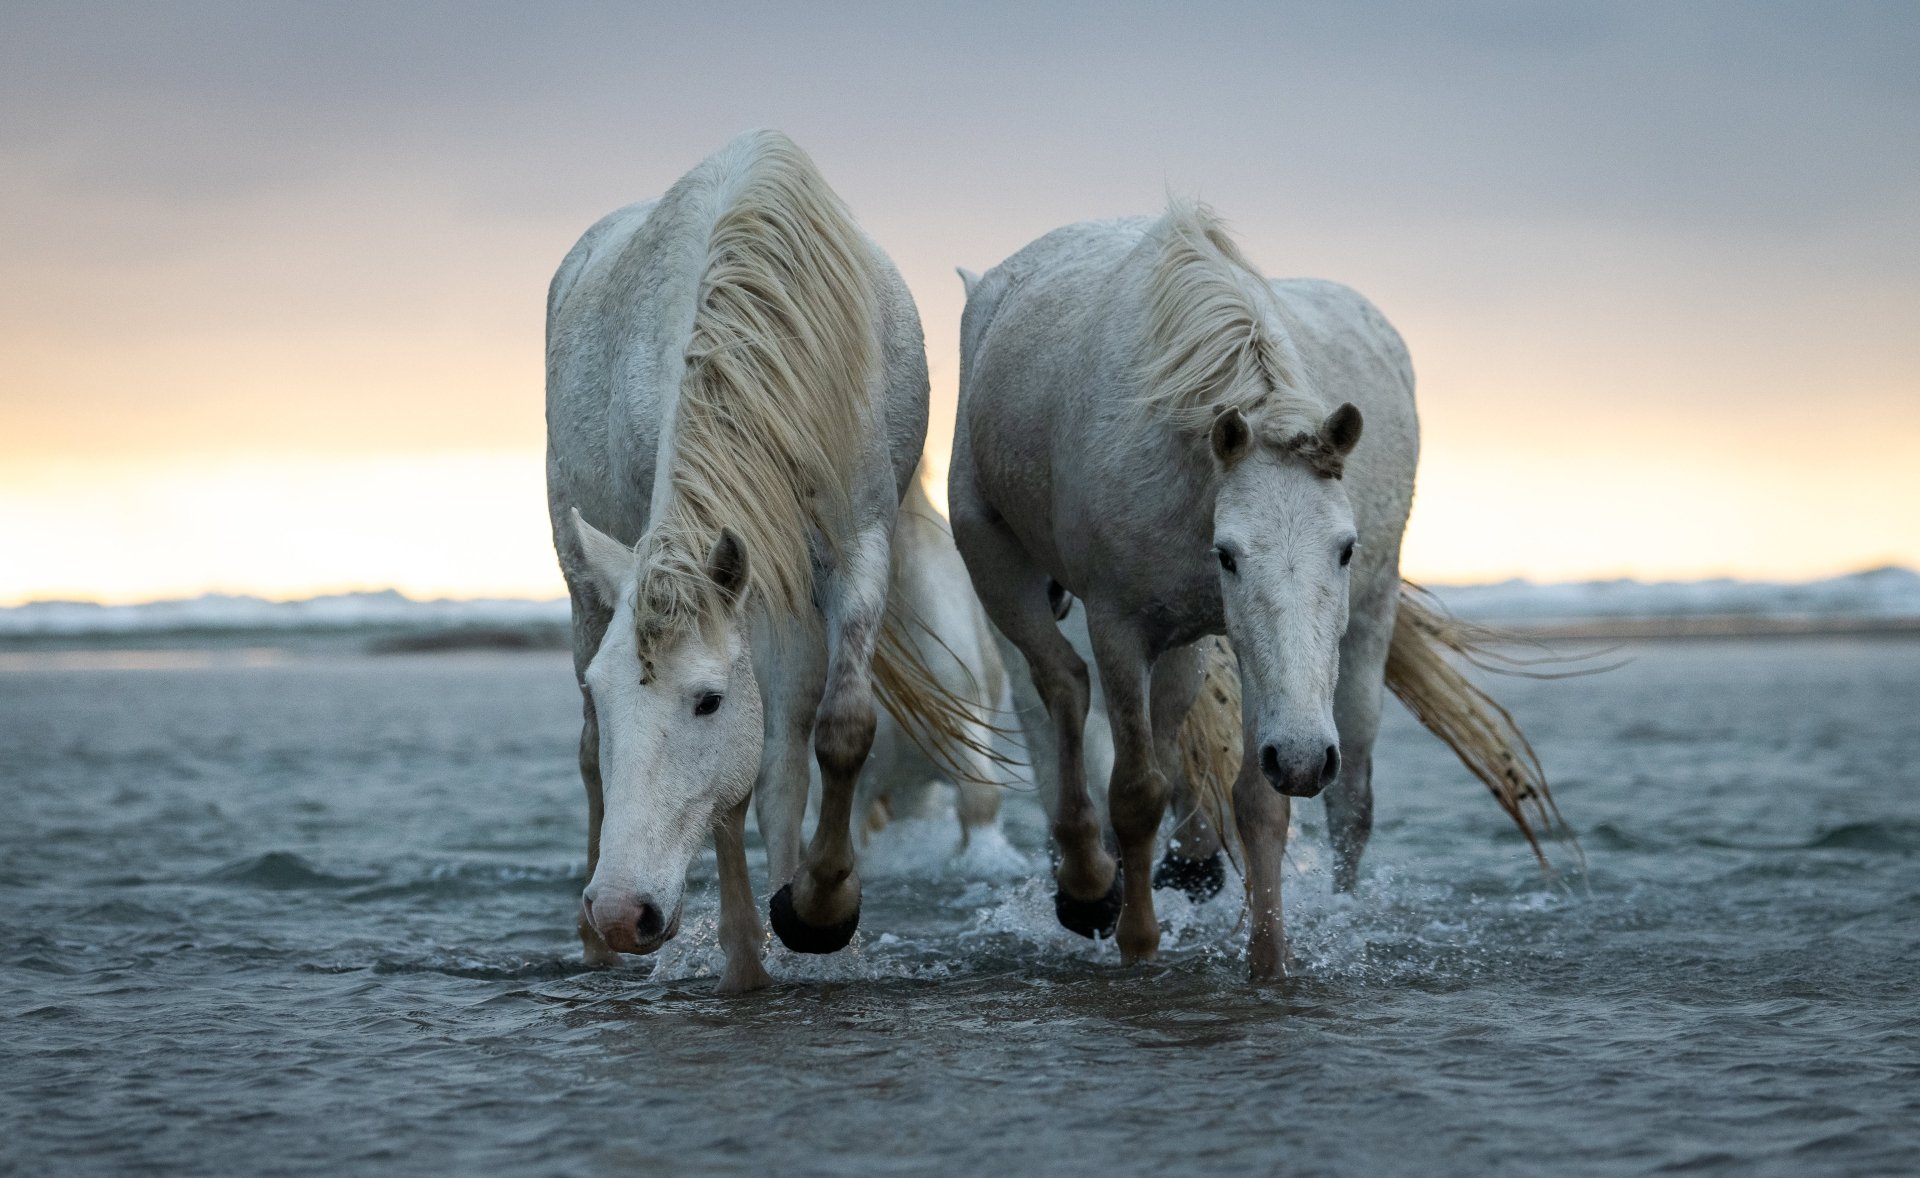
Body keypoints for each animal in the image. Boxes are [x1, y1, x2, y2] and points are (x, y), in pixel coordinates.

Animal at [546, 130, 969, 994]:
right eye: (607, 693)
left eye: (707, 702)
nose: (622, 910)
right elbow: (726, 793)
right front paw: (745, 956)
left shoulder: (853, 550)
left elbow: (835, 730)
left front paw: (819, 911)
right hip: (584, 575)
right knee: (592, 756)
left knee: (785, 754)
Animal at [950, 202, 1558, 980]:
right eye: (1229, 556)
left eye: (1346, 548)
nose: (1305, 756)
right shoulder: (1120, 625)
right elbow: (1136, 789)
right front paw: (1138, 942)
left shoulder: (1237, 649)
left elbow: (1257, 801)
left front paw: (1269, 964)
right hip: (994, 558)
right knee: (1062, 682)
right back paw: (1088, 886)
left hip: (1309, 637)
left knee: (1317, 786)